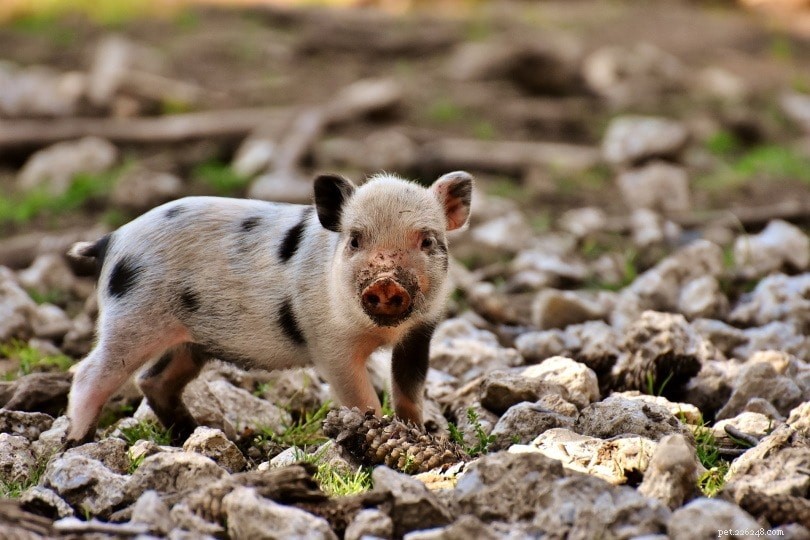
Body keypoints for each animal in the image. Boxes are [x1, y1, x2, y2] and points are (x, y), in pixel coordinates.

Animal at [64, 171, 473, 445]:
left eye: (427, 240)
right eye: (355, 240)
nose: (385, 283)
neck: (382, 332)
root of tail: (111, 239)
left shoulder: (421, 333)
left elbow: (409, 390)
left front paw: (418, 432)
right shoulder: (330, 344)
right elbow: (362, 398)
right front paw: (375, 428)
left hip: (189, 341)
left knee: (153, 380)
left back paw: (196, 433)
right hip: (130, 318)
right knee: (89, 372)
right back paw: (78, 442)